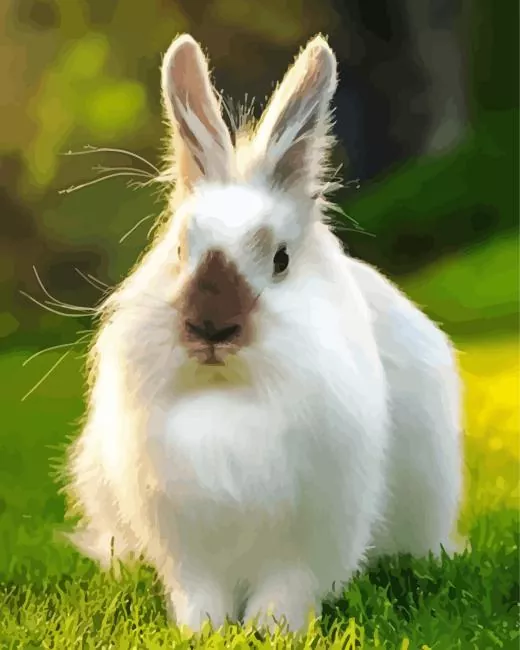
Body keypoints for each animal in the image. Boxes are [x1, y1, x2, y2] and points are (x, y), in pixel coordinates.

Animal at [64, 33, 463, 634]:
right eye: (179, 250)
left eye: (281, 259)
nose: (210, 326)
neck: (230, 397)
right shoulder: (188, 547)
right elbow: (199, 596)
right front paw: (202, 632)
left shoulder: (310, 540)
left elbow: (285, 594)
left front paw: (269, 630)